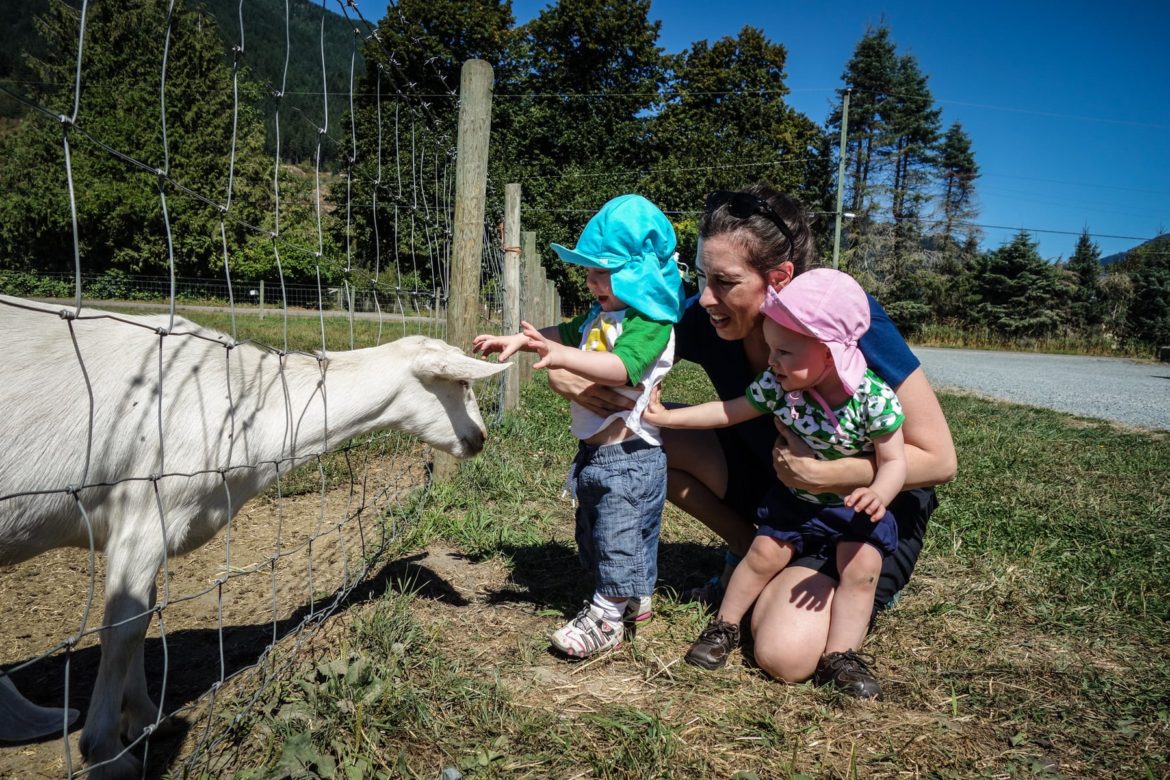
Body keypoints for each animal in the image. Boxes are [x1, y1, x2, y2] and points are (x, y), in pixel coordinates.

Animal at [1, 295, 512, 776]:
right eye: (462, 383)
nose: (482, 438)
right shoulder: (146, 514)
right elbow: (124, 628)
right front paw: (106, 752)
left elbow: (143, 617)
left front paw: (147, 718)